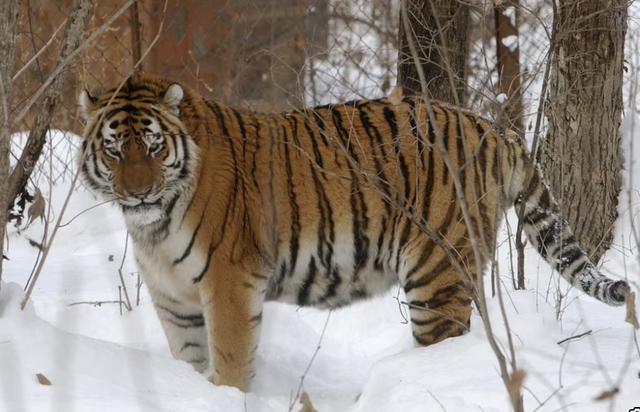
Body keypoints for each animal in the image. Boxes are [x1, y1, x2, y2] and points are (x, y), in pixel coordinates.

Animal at [76, 73, 632, 392]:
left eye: (152, 146)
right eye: (114, 149)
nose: (139, 193)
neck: (155, 225)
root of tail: (495, 128)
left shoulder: (228, 283)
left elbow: (230, 361)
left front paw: (227, 394)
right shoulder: (174, 298)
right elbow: (188, 359)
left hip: (438, 274)